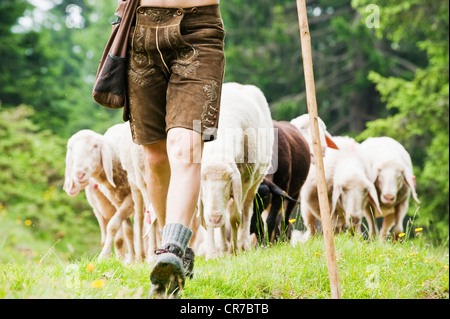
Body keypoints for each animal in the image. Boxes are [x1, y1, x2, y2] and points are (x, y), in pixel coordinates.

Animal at [62, 129, 135, 262]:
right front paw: (123, 260)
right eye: (70, 148)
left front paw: (104, 256)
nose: (79, 174)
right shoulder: (109, 206)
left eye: (95, 146)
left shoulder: (131, 199)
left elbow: (113, 228)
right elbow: (122, 235)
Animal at [200, 82, 274, 260]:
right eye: (203, 180)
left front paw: (234, 251)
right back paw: (223, 248)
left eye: (227, 180)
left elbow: (235, 217)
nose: (215, 218)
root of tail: (239, 85)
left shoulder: (244, 181)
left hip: (255, 182)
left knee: (246, 210)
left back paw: (242, 244)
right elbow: (209, 215)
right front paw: (212, 254)